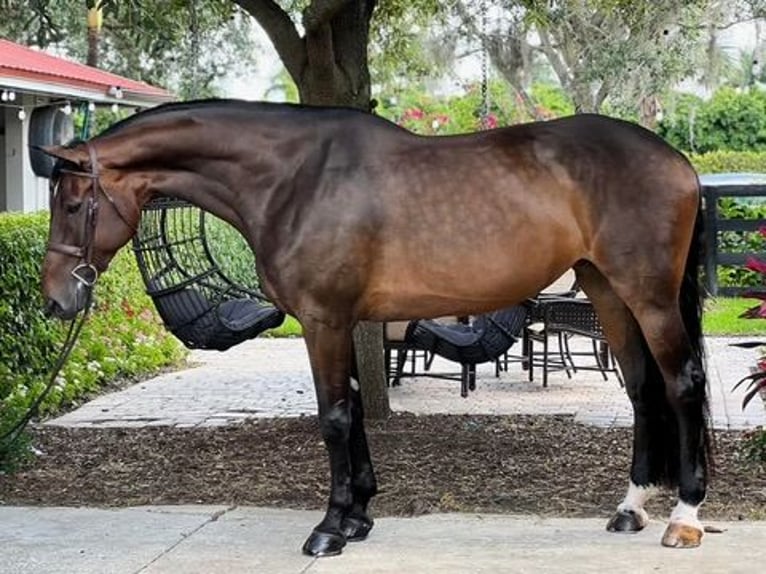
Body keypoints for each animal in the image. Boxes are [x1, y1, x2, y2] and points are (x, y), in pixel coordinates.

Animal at [39, 99, 710, 557]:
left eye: (72, 204)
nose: (55, 300)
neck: (296, 179)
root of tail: (677, 161)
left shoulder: (324, 320)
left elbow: (334, 417)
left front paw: (330, 528)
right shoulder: (341, 324)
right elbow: (356, 409)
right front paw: (359, 516)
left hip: (649, 296)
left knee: (682, 385)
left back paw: (685, 517)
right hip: (606, 290)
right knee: (642, 390)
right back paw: (630, 509)